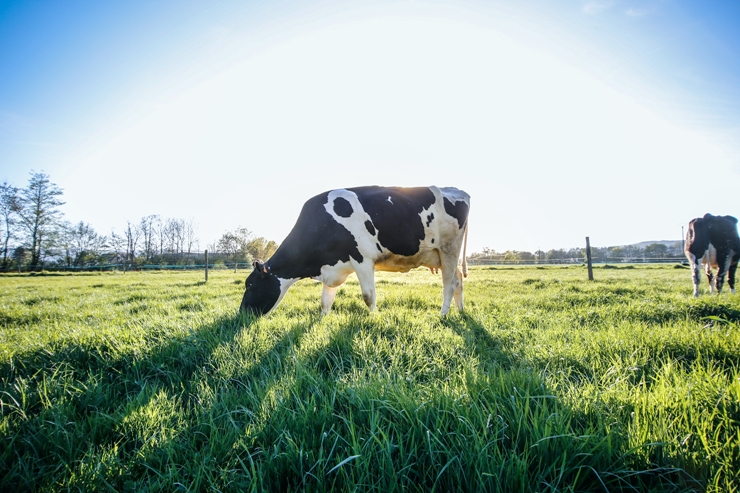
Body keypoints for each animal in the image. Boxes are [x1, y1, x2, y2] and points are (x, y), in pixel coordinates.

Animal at [240, 184, 472, 316]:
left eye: (249, 285)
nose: (241, 314)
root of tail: (457, 190)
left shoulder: (362, 259)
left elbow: (369, 296)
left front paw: (374, 318)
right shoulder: (332, 267)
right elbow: (325, 301)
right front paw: (322, 320)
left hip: (449, 248)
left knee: (449, 284)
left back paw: (443, 314)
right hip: (442, 255)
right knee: (459, 280)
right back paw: (460, 311)